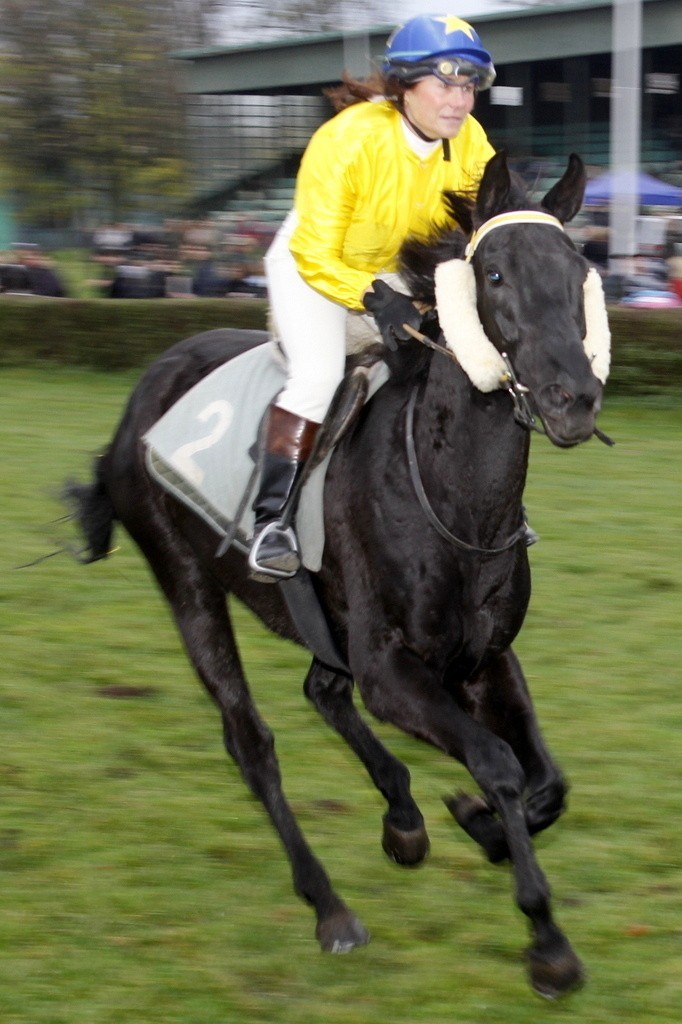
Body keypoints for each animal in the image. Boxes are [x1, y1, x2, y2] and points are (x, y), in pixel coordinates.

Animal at [63, 153, 606, 999]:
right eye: (493, 273)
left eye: (581, 270)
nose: (574, 399)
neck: (454, 498)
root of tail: (141, 397)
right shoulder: (392, 671)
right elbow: (499, 765)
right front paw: (546, 939)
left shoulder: (485, 659)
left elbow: (546, 780)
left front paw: (475, 827)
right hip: (188, 586)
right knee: (250, 742)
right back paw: (330, 907)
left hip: (321, 621)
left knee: (321, 690)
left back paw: (404, 821)